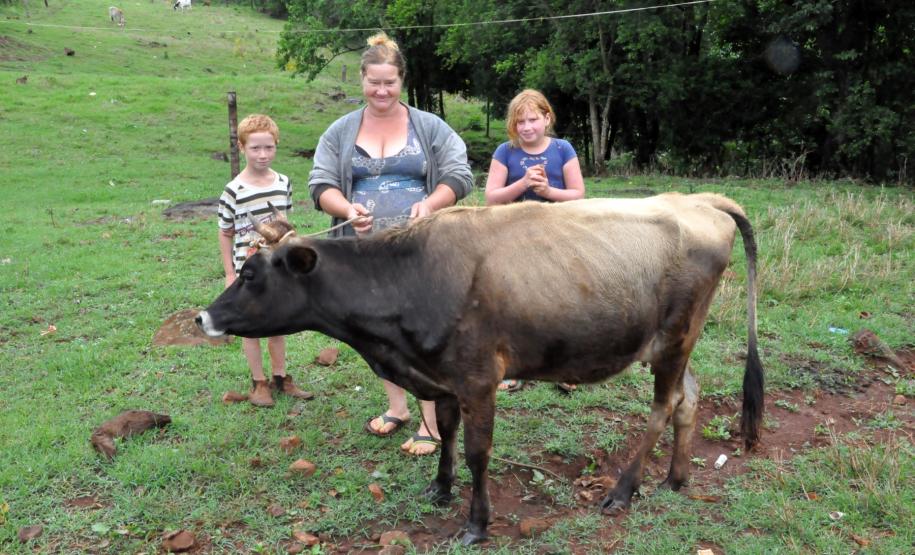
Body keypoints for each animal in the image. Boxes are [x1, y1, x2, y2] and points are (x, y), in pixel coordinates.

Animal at [196, 193, 765, 545]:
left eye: (251, 273)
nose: (203, 316)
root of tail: (696, 200)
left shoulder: (478, 378)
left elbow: (476, 452)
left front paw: (476, 523)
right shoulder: (443, 379)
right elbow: (445, 434)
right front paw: (439, 488)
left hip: (674, 338)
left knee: (664, 405)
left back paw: (624, 489)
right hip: (675, 343)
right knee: (689, 397)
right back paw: (676, 478)